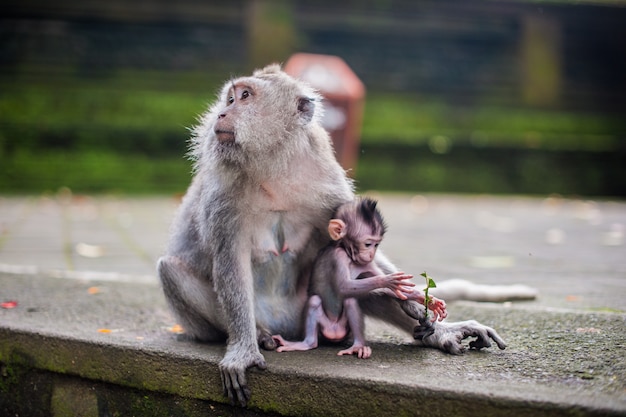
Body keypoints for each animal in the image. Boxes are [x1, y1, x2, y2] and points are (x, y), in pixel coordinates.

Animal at [270, 197, 446, 358]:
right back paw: (307, 343)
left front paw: (427, 300)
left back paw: (359, 345)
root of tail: (334, 333)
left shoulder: (366, 264)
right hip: (323, 328)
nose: (371, 253)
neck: (349, 257)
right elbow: (343, 287)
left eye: (376, 244)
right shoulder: (338, 257)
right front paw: (388, 281)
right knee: (316, 301)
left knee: (351, 301)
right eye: (368, 244)